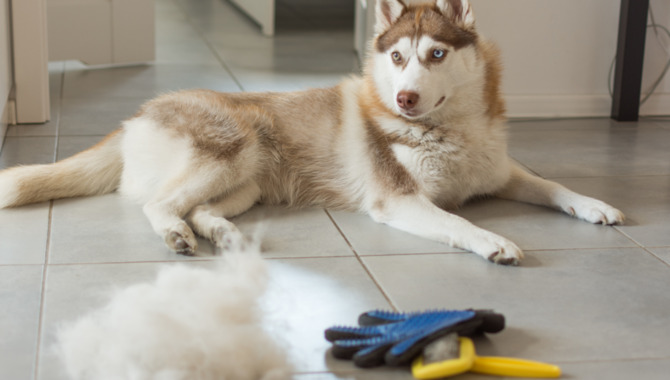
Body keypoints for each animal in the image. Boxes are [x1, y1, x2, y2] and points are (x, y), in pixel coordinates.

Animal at [0, 0, 624, 266]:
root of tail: (134, 118)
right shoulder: (399, 199)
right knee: (160, 204)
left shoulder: (499, 170)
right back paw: (177, 235)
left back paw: (221, 233)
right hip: (233, 147)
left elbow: (551, 186)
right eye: (397, 57)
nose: (406, 97)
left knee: (196, 207)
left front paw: (595, 205)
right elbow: (457, 222)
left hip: (246, 184)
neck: (451, 131)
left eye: (437, 54)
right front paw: (492, 239)